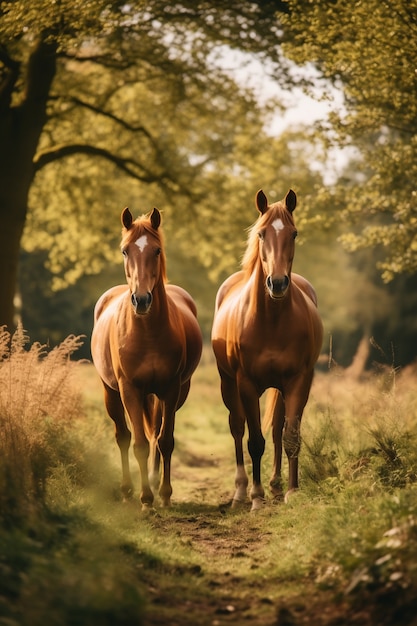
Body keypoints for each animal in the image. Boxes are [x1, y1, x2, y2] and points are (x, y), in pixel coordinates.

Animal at [91, 207, 202, 510]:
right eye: (125, 250)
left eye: (156, 250)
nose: (141, 300)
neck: (147, 331)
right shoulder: (129, 388)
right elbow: (138, 443)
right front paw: (145, 499)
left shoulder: (171, 390)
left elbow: (165, 441)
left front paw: (163, 495)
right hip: (111, 392)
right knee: (123, 436)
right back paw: (128, 490)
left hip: (171, 394)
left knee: (156, 434)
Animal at [211, 188, 322, 510]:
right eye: (261, 233)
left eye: (294, 233)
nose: (278, 283)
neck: (271, 320)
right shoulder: (246, 384)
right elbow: (254, 441)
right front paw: (256, 498)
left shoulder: (298, 381)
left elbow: (290, 435)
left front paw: (292, 491)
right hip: (228, 384)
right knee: (237, 428)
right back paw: (241, 492)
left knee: (275, 430)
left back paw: (275, 486)